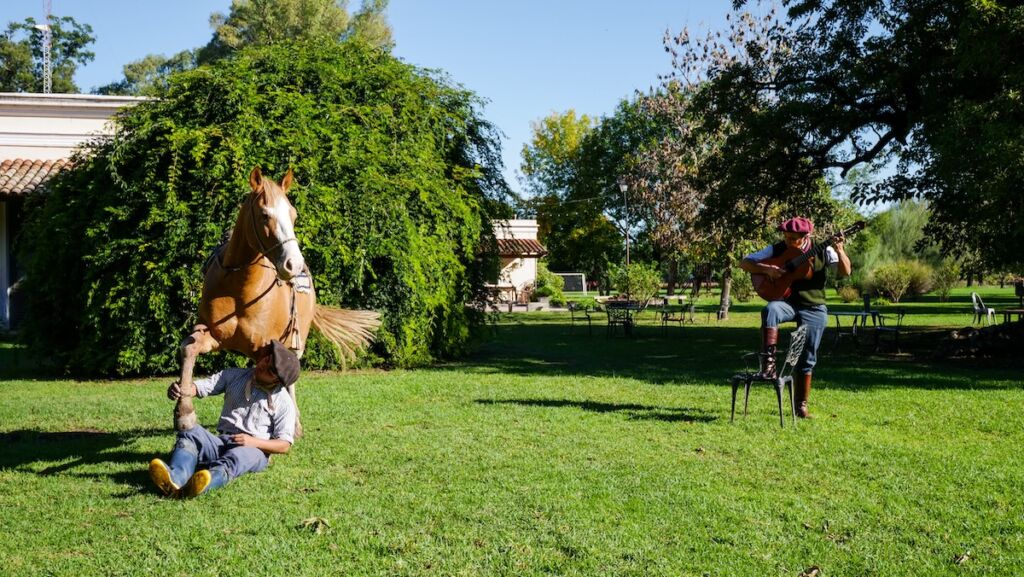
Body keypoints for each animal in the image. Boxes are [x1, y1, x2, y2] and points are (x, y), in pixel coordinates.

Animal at [172, 165, 380, 436]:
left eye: (293, 215)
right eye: (264, 215)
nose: (294, 264)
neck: (239, 289)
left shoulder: (268, 346)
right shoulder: (212, 333)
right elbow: (189, 348)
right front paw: (184, 413)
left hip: (297, 339)